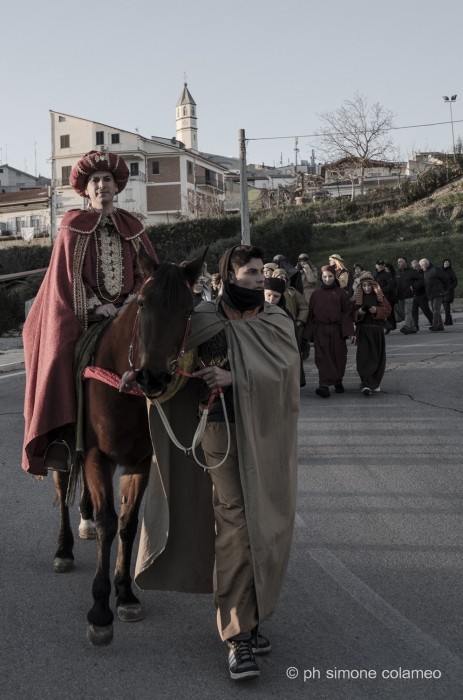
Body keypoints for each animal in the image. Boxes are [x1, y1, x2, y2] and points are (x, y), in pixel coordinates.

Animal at [52, 249, 205, 648]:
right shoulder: (97, 457)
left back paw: (85, 520)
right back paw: (63, 549)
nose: (152, 377)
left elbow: (128, 524)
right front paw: (100, 611)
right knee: (62, 487)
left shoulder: (139, 463)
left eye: (188, 310)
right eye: (144, 303)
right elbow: (109, 524)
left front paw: (125, 594)